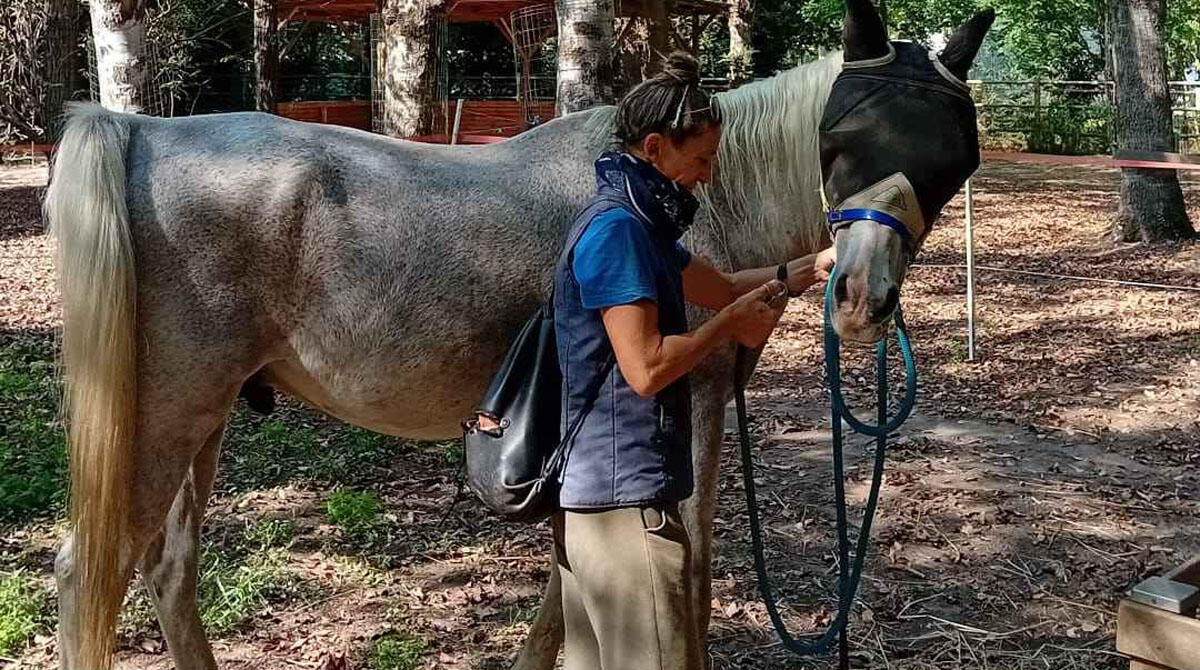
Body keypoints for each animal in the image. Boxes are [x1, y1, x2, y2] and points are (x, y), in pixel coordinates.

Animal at [43, 2, 992, 668]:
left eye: (953, 159)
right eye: (841, 137)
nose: (861, 295)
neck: (678, 197)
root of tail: (141, 132)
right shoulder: (692, 403)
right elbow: (689, 566)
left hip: (200, 424)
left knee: (167, 570)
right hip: (164, 423)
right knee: (89, 573)